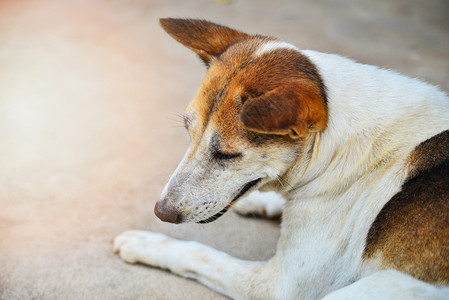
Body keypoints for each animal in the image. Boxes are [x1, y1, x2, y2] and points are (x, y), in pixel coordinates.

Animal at [113, 19, 448, 300]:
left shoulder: (278, 285)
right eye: (188, 132)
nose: (161, 212)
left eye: (228, 154)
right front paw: (262, 202)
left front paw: (146, 243)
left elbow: (199, 253)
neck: (336, 145)